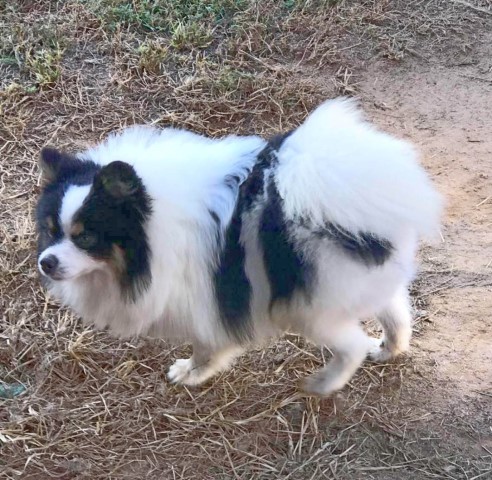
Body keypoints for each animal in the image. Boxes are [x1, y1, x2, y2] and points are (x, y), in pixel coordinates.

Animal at [34, 99, 442, 396]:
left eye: (85, 237)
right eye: (51, 231)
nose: (46, 262)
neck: (152, 223)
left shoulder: (203, 300)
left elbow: (206, 347)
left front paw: (190, 373)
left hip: (311, 309)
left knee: (351, 346)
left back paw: (323, 385)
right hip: (362, 282)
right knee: (396, 311)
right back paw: (388, 348)